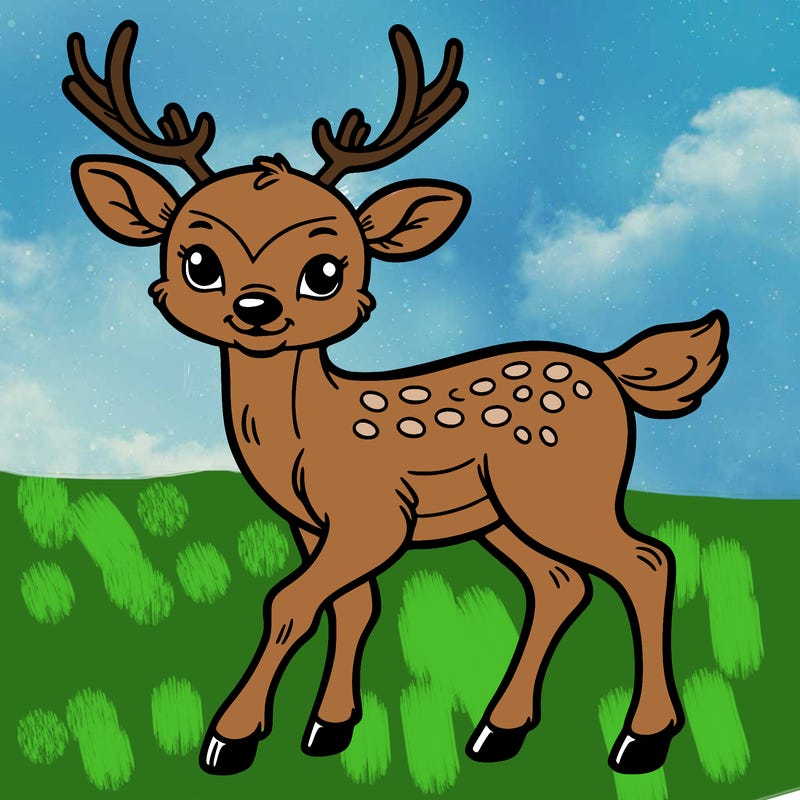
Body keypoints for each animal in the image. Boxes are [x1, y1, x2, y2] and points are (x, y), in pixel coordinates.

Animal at [63, 20, 728, 777]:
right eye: (199, 263)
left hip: (562, 491)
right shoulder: (314, 524)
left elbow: (290, 601)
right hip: (502, 514)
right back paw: (497, 732)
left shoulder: (372, 514)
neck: (305, 437)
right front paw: (328, 729)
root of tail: (612, 371)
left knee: (646, 562)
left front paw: (230, 739)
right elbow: (353, 606)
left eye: (325, 270)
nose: (256, 309)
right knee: (562, 583)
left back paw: (639, 740)